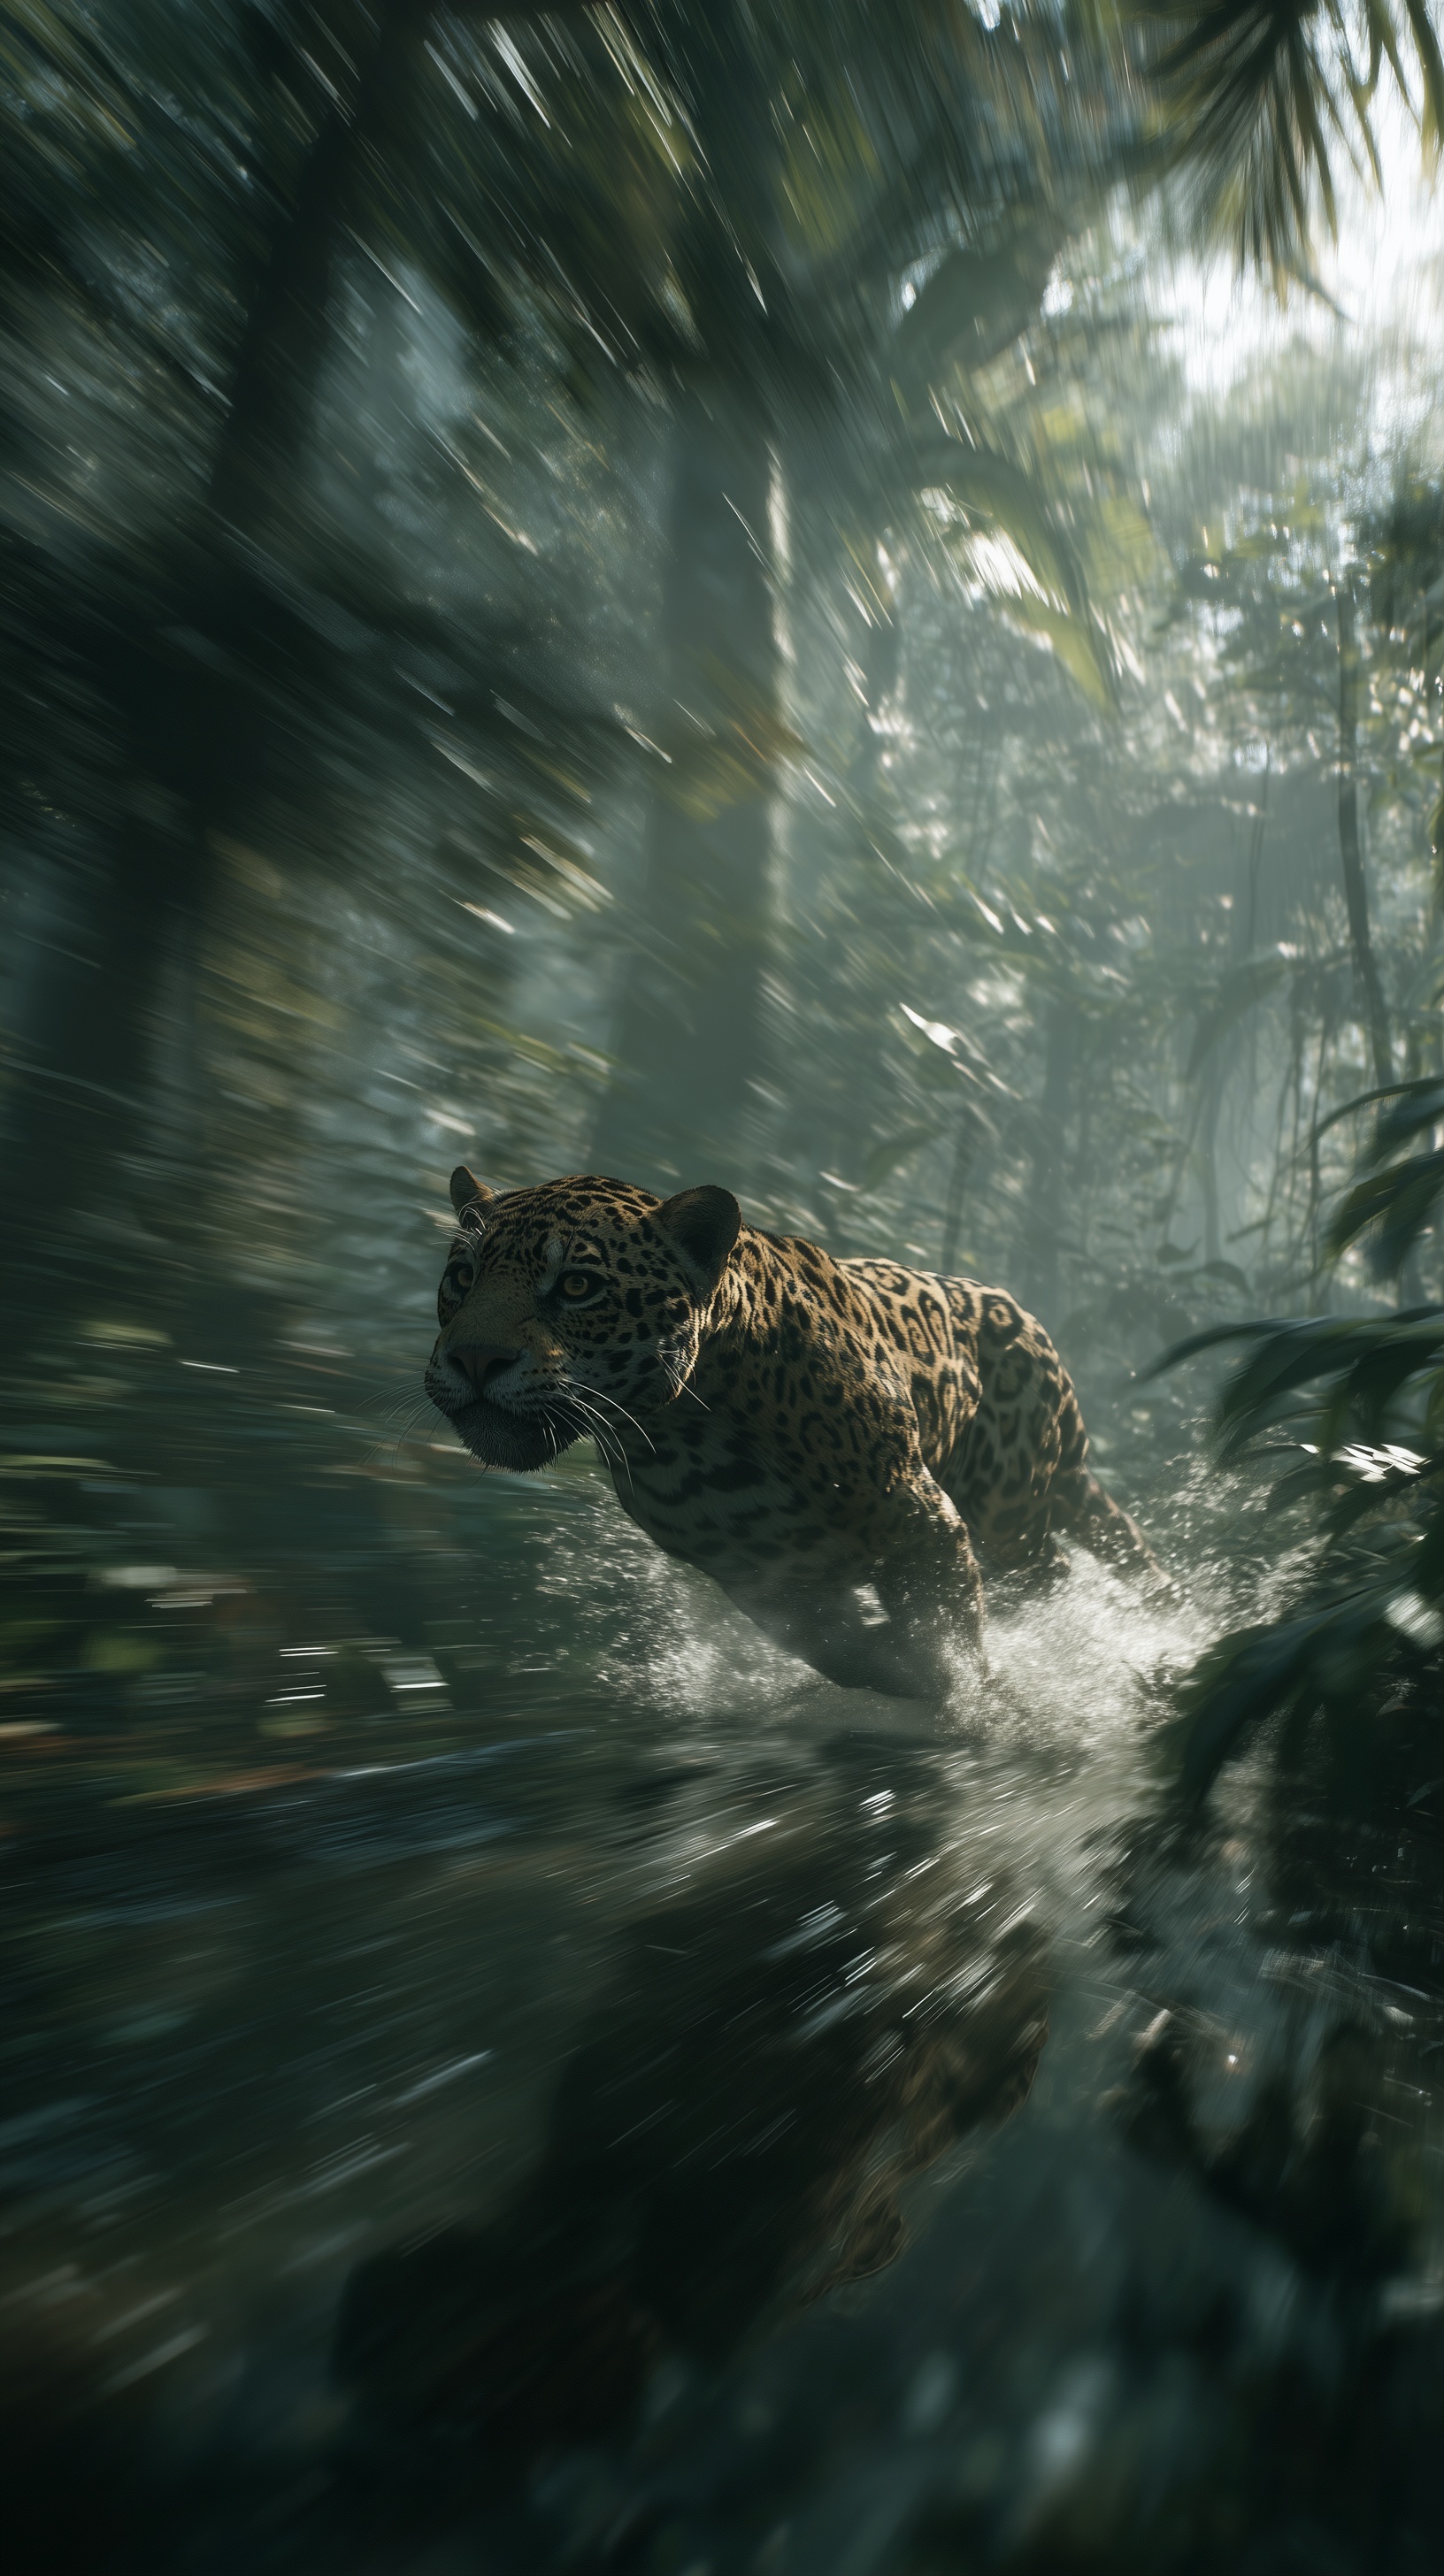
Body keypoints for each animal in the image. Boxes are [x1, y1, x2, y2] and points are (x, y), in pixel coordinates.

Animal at [423, 1165, 1160, 1697]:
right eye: (461, 1276)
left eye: (577, 1286)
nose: (474, 1359)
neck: (683, 1433)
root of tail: (1036, 1331)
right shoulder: (767, 1583)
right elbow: (844, 1652)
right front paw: (898, 1668)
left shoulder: (923, 1518)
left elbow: (950, 1634)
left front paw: (968, 1699)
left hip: (1008, 1513)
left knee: (1053, 1572)